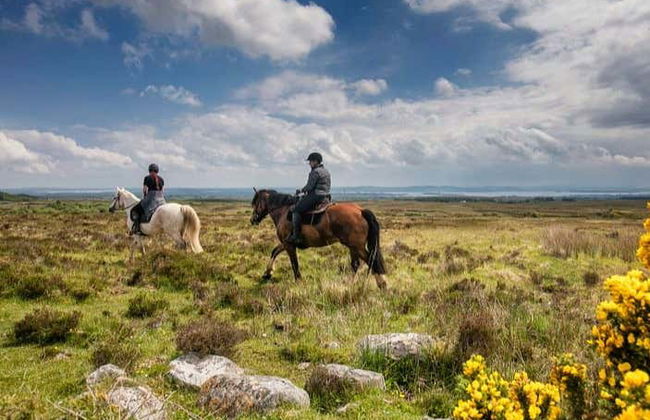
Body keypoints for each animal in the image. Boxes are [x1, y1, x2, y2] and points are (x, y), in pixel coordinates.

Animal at [250, 189, 388, 289]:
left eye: (255, 203)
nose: (252, 220)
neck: (283, 212)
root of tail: (360, 210)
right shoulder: (286, 243)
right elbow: (274, 251)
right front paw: (267, 273)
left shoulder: (289, 245)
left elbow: (294, 263)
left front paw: (298, 281)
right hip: (352, 246)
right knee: (355, 264)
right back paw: (349, 284)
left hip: (357, 246)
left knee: (371, 260)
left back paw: (382, 284)